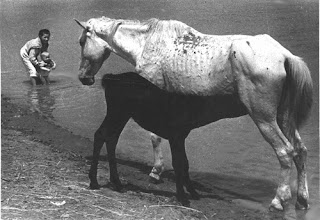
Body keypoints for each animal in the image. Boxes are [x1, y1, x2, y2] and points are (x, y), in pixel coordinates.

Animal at [75, 16, 312, 210]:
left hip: (264, 118)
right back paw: (302, 199)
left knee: (284, 151)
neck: (148, 43)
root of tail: (285, 55)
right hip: (283, 117)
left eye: (82, 42)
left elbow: (155, 137)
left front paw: (156, 172)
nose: (84, 78)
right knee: (300, 151)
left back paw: (279, 200)